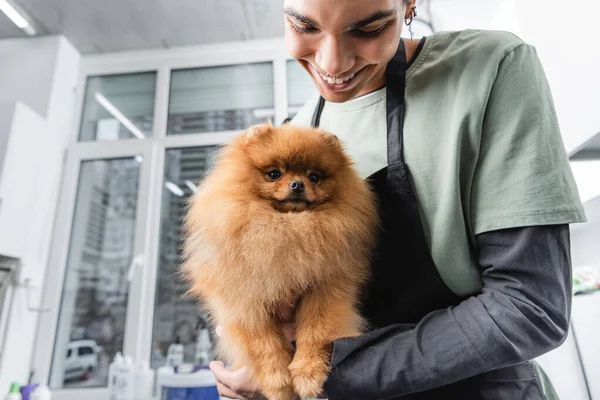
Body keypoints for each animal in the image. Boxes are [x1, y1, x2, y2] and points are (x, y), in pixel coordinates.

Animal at [182, 123, 376, 398]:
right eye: (274, 174)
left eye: (314, 176)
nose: (297, 184)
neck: (287, 227)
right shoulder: (245, 301)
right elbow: (264, 344)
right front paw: (278, 382)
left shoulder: (325, 292)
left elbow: (315, 332)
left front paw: (308, 373)